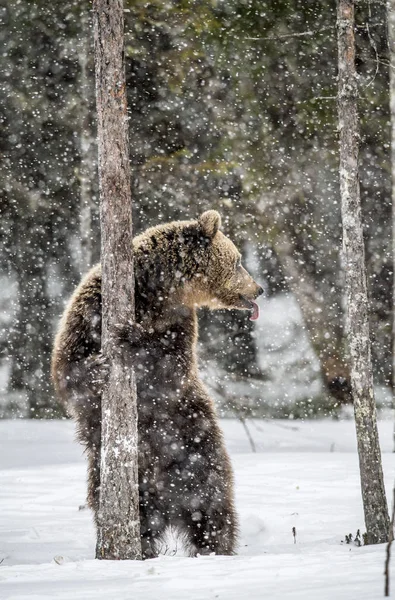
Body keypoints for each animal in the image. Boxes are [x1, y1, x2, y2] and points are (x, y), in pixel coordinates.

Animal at [51, 210, 262, 556]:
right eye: (238, 260)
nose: (258, 289)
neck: (157, 291)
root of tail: (170, 502)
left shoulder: (180, 322)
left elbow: (171, 369)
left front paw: (132, 336)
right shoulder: (92, 305)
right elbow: (66, 366)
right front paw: (98, 365)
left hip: (199, 449)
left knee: (214, 510)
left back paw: (214, 550)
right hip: (113, 477)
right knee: (134, 516)